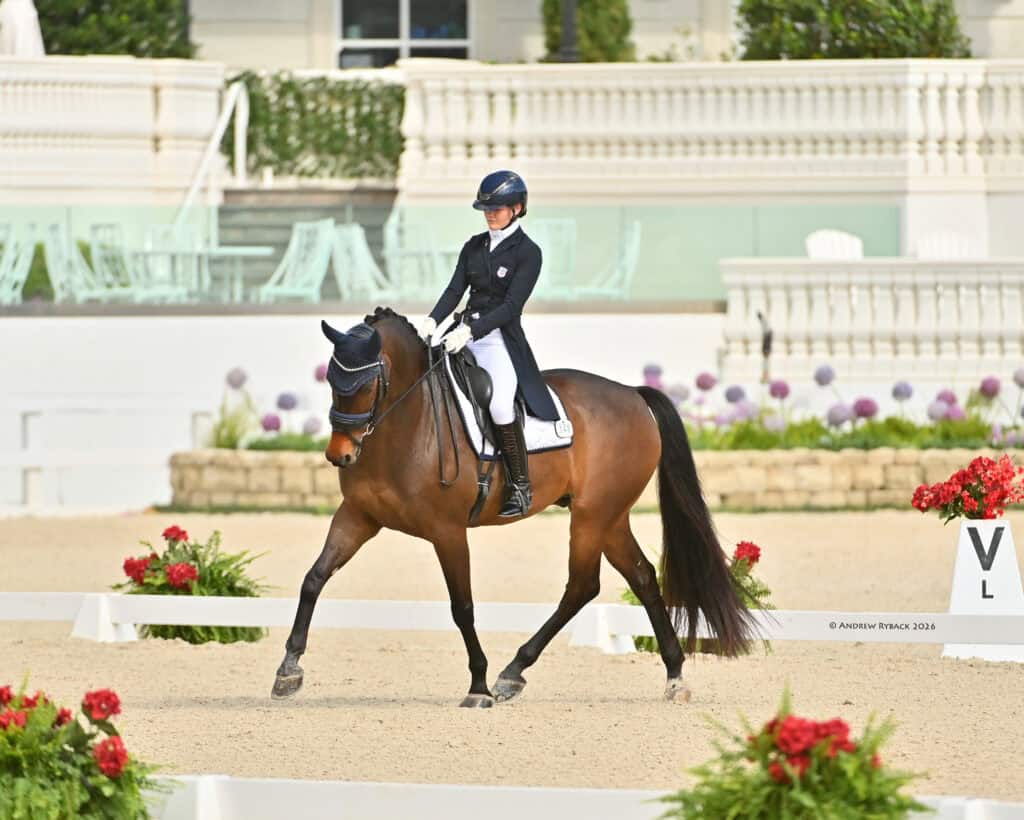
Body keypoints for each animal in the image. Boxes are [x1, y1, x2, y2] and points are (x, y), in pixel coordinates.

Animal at [272, 307, 755, 707]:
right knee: (640, 577)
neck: (406, 426)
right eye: (332, 381)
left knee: (582, 586)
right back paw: (673, 676)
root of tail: (634, 395)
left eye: (368, 383)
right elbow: (314, 578)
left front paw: (478, 686)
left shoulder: (448, 531)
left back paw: (511, 673)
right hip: (610, 518)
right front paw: (288, 670)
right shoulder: (358, 516)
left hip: (592, 516)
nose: (339, 455)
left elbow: (462, 606)